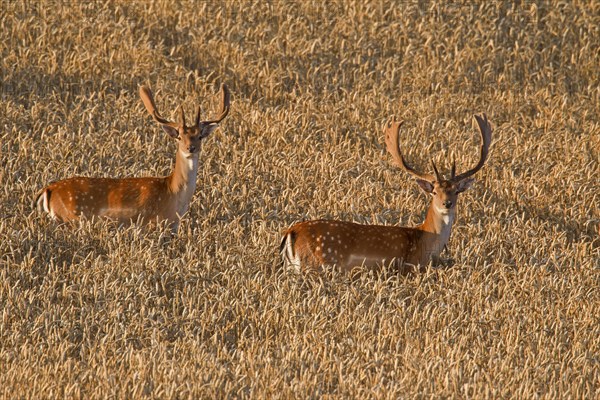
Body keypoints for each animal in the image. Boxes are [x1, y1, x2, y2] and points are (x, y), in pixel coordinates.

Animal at [33, 85, 230, 233]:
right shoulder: (153, 223)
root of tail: (48, 189)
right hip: (70, 217)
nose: (191, 148)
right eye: (179, 136)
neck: (174, 195)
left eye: (200, 136)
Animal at [282, 114, 492, 274]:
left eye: (456, 191)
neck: (424, 242)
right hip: (318, 263)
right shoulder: (409, 267)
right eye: (434, 191)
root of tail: (291, 232)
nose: (447, 203)